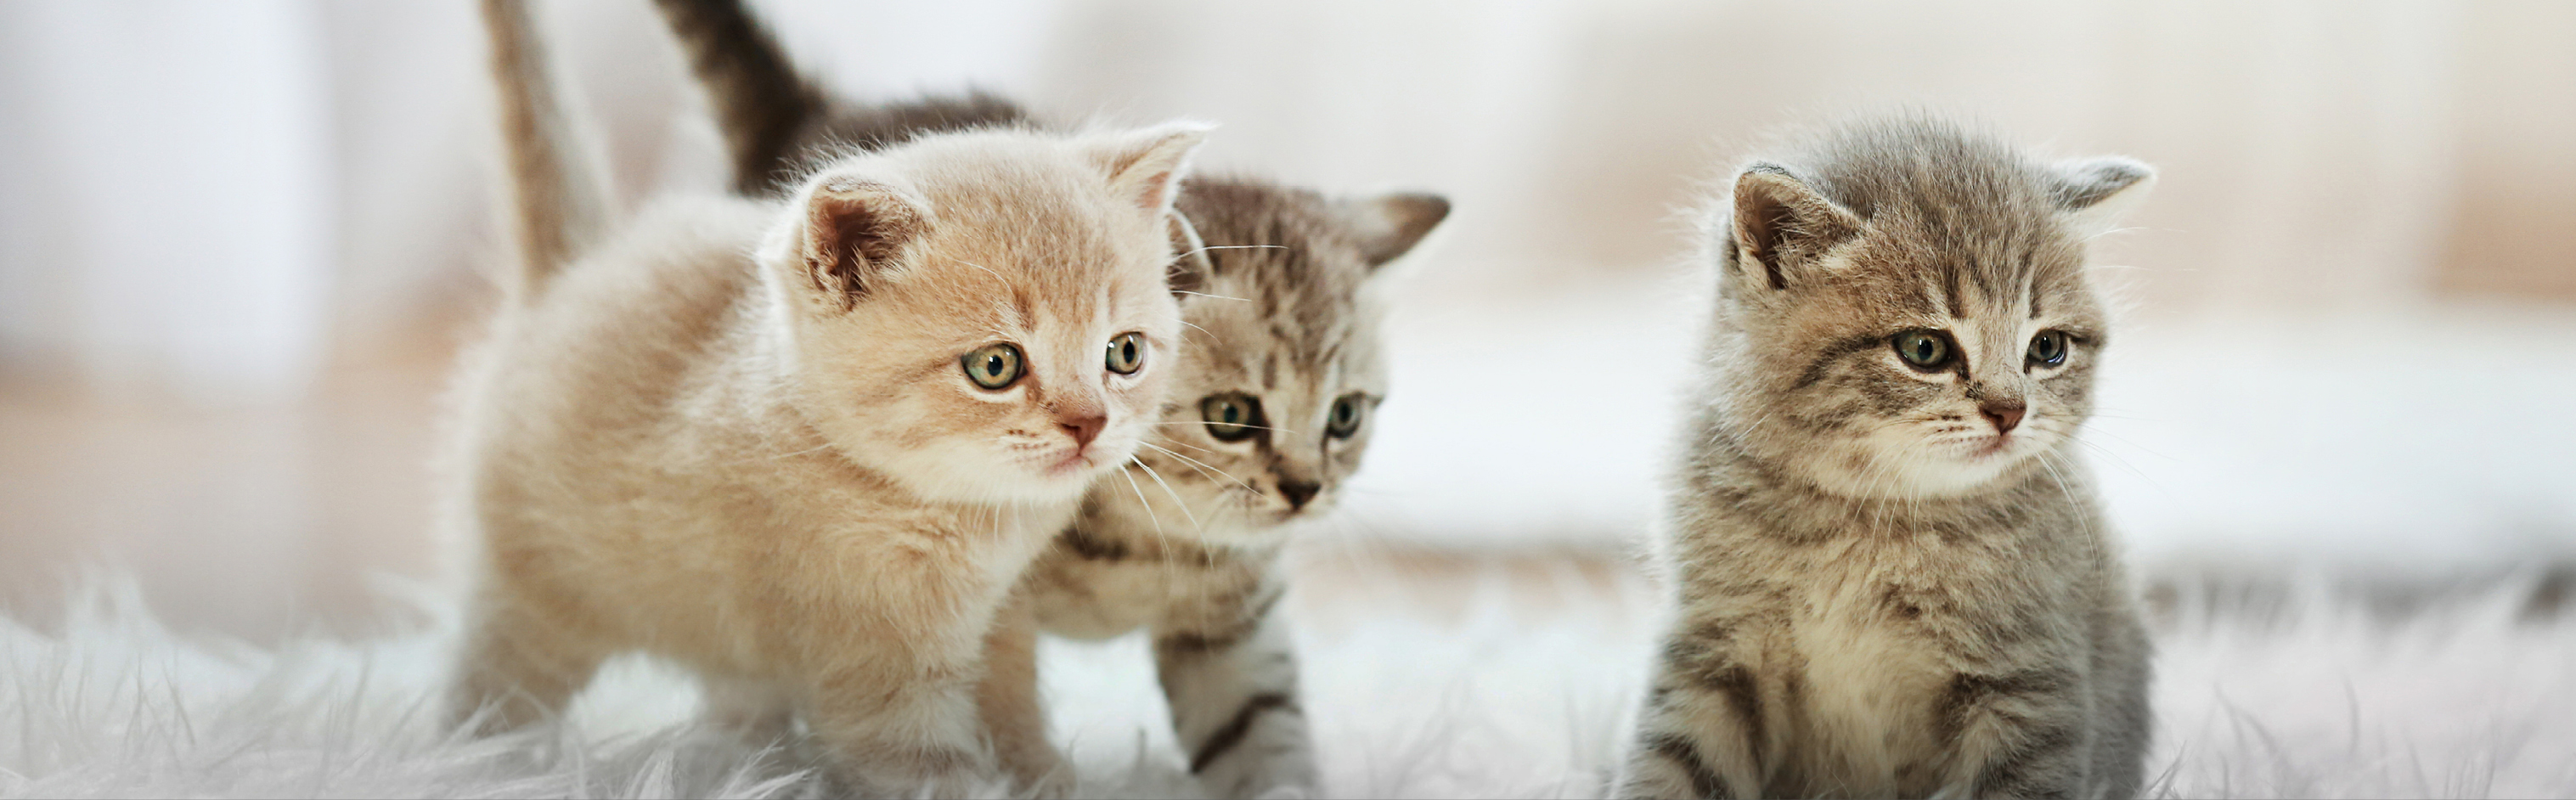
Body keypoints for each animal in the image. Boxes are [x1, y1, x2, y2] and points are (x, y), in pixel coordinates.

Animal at [445, 0, 1205, 797]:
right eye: (995, 366)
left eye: (1124, 354)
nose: (1089, 424)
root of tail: (572, 270)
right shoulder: (881, 684)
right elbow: (937, 773)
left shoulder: (1001, 623)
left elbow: (1016, 718)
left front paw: (1049, 776)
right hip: (533, 589)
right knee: (490, 689)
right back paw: (477, 763)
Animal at [644, 1, 1452, 797]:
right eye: (1231, 416)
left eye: (1344, 416)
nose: (1305, 491)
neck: (1146, 541)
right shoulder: (975, 604)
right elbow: (1000, 712)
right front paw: (1040, 779)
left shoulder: (1236, 627)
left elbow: (1260, 737)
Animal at [1617, 114, 2163, 800]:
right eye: (1924, 349)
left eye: (2047, 348)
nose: (2010, 412)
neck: (1870, 520)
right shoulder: (1714, 651)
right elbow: (1668, 768)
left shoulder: (2024, 681)